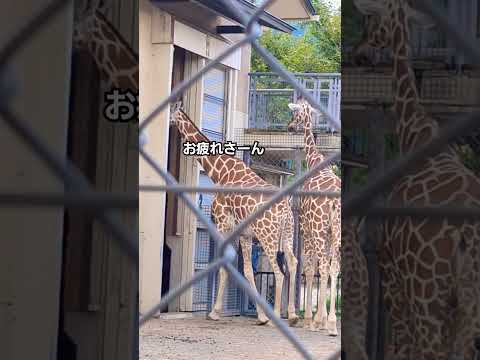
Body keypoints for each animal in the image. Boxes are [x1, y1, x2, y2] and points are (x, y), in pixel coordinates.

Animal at [171, 105, 298, 326]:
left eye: (171, 109)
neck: (219, 172)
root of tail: (284, 208)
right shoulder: (245, 234)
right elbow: (247, 271)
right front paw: (261, 316)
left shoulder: (224, 224)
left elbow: (226, 267)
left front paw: (214, 312)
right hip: (287, 233)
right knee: (292, 263)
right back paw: (292, 315)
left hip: (268, 236)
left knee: (279, 272)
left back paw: (276, 317)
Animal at [352, 1, 480, 358]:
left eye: (372, 18)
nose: (358, 53)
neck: (414, 133)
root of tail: (467, 232)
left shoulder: (392, 274)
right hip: (466, 300)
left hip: (428, 294)